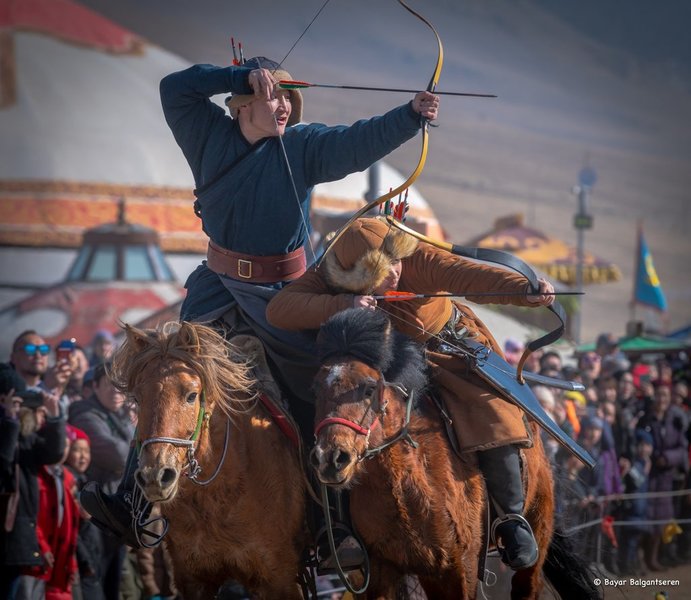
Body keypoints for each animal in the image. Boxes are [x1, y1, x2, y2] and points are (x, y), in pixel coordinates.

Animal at [310, 310, 596, 600]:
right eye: (316, 389)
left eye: (369, 388)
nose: (331, 459)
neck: (405, 483)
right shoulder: (381, 570)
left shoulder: (459, 568)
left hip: (538, 528)